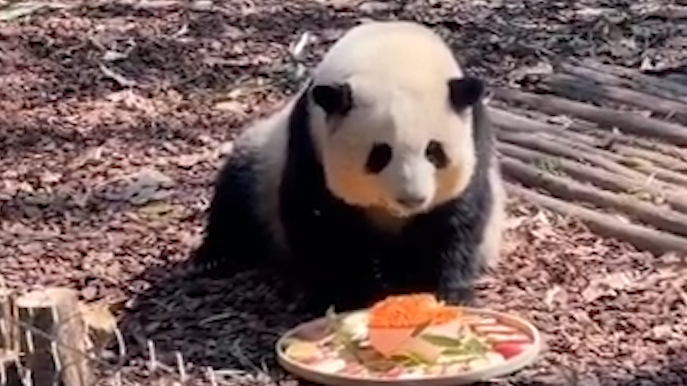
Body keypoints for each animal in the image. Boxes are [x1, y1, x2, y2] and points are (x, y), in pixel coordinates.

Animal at [192, 20, 506, 314]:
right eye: (379, 154)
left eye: (434, 151)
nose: (412, 199)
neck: (391, 52)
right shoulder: (310, 140)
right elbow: (323, 223)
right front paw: (349, 295)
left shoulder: (475, 139)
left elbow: (454, 221)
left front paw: (443, 294)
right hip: (263, 162)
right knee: (236, 194)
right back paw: (214, 257)